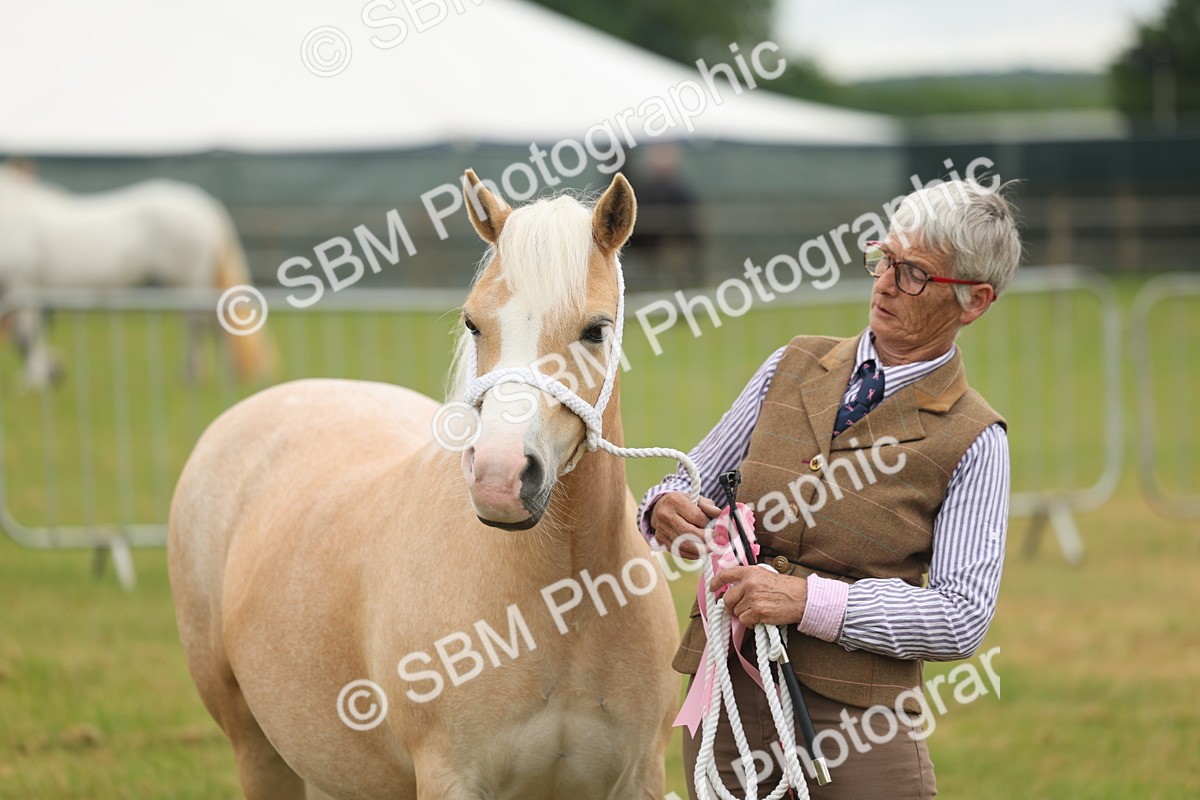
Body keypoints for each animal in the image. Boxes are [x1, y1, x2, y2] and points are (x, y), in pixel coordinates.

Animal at [0, 162, 273, 388]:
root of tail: (206, 206)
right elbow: (26, 335)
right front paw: (45, 373)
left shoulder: (21, 284)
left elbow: (25, 335)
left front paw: (35, 379)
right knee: (214, 321)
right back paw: (220, 374)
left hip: (188, 280)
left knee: (198, 323)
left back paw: (194, 375)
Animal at [168, 170, 681, 799]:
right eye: (473, 322)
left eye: (596, 330)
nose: (499, 478)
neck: (566, 609)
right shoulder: (449, 776)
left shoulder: (638, 777)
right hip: (256, 748)